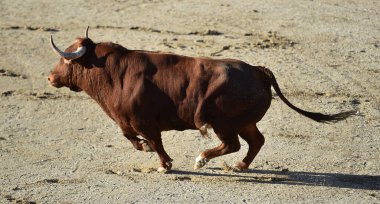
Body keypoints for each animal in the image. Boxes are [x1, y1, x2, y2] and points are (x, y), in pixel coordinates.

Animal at [48, 26, 356, 171]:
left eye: (66, 59)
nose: (50, 78)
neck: (113, 73)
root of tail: (258, 70)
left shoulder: (144, 121)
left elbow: (154, 142)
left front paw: (164, 165)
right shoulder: (127, 120)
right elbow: (131, 136)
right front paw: (147, 151)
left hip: (223, 123)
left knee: (231, 144)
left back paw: (202, 159)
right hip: (245, 122)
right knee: (256, 141)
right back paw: (240, 166)